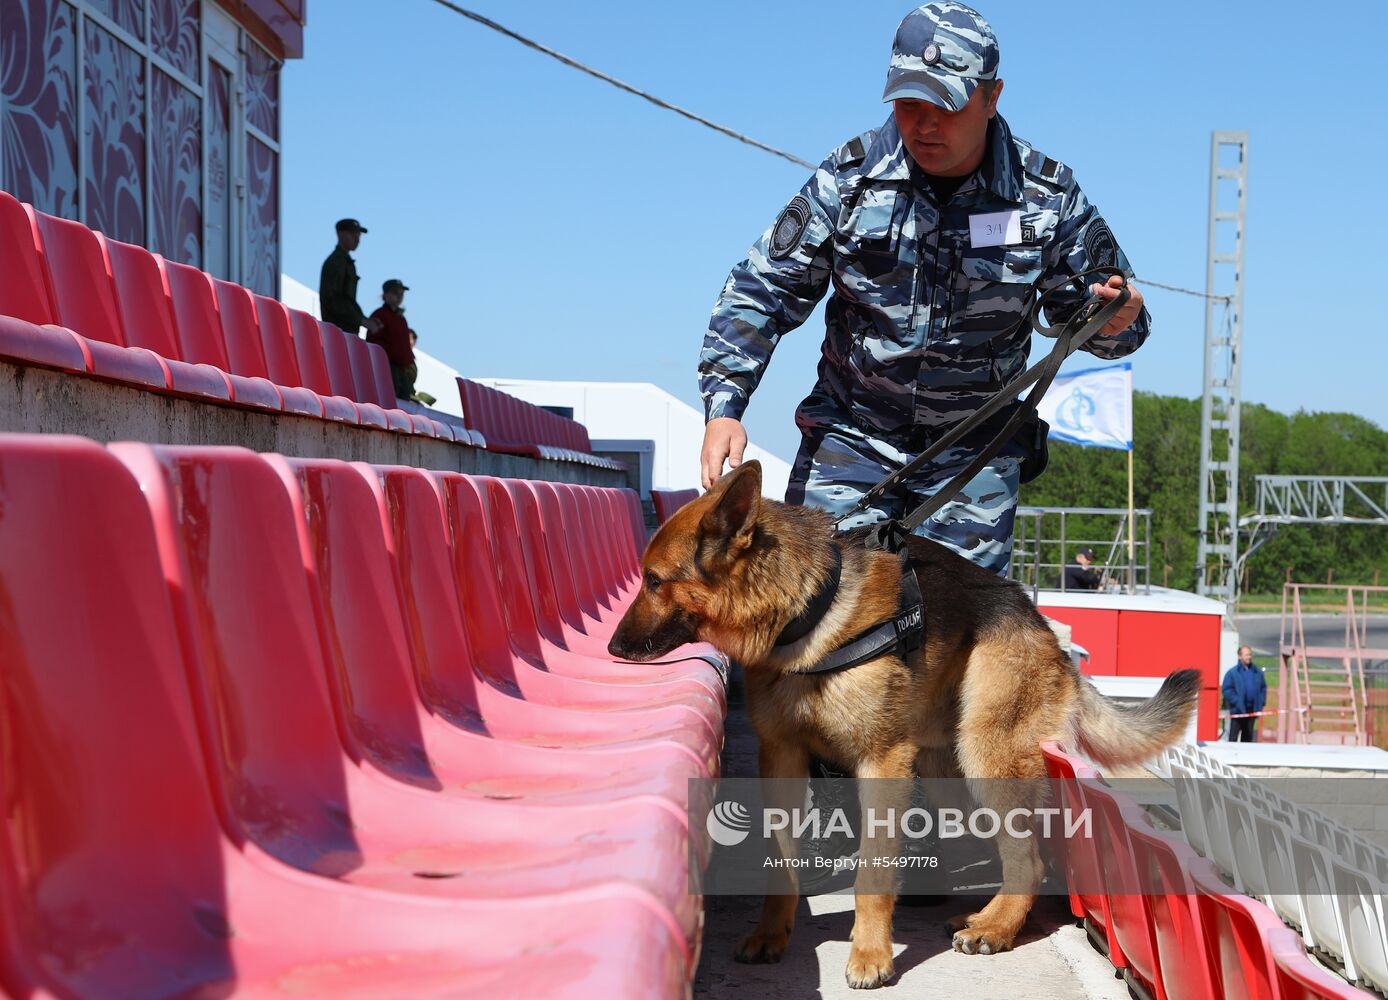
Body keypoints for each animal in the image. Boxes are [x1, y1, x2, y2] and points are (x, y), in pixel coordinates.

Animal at [613, 458, 1199, 983]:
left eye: (654, 581)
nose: (613, 648)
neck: (810, 612)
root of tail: (1039, 620)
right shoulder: (780, 759)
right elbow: (780, 861)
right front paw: (771, 935)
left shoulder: (882, 762)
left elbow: (873, 870)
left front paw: (871, 956)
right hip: (945, 771)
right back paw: (980, 913)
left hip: (986, 758)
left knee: (1027, 857)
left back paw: (995, 928)